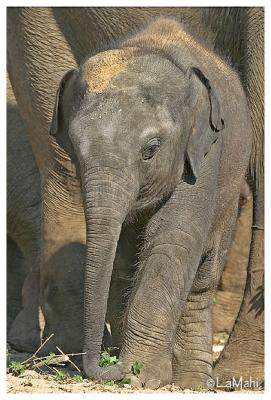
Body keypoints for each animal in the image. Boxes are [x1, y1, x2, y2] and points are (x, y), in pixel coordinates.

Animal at [7, 6, 264, 388]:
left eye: (150, 150)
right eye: (76, 149)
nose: (103, 364)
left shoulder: (202, 155)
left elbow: (172, 239)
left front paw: (137, 375)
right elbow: (123, 260)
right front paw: (133, 368)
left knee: (201, 278)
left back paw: (193, 382)